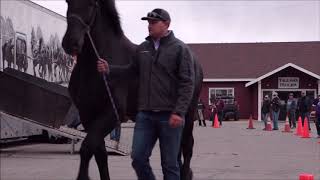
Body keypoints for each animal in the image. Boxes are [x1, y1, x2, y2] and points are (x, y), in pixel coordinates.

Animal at [62, 0, 202, 180]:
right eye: (68, 2)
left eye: (92, 4)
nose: (70, 43)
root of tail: (194, 61)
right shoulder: (88, 115)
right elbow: (100, 153)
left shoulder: (112, 114)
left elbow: (87, 147)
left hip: (188, 115)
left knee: (187, 146)